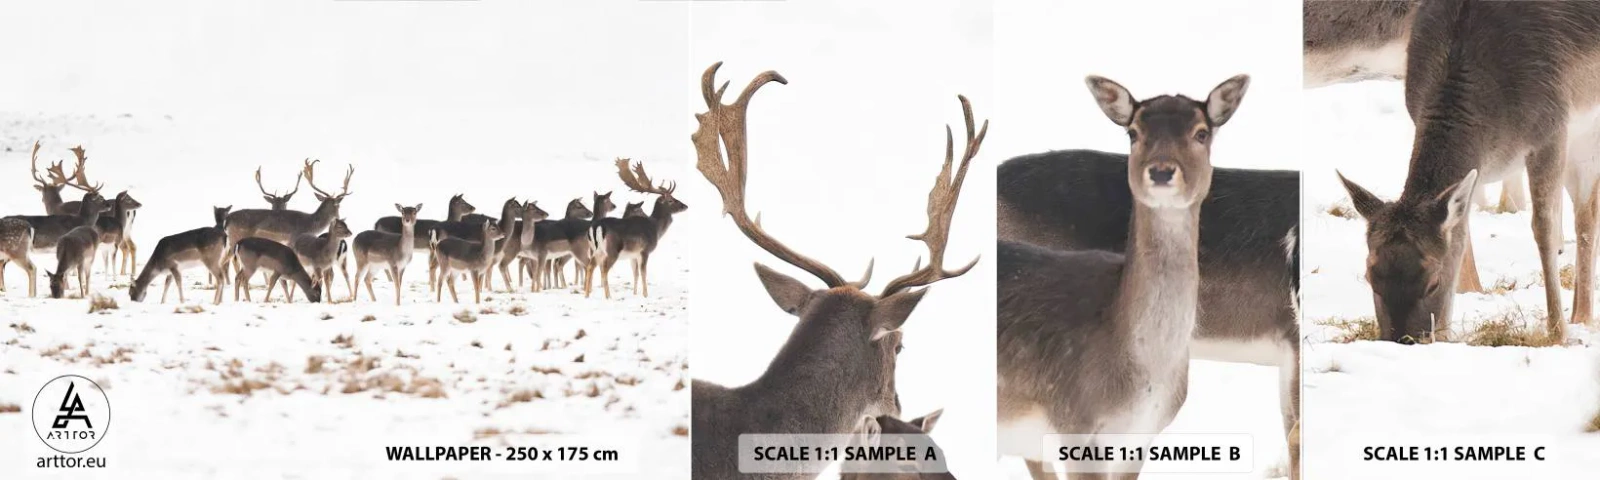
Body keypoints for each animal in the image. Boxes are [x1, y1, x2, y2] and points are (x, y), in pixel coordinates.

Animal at [225, 159, 352, 287]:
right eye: (338, 205)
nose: (339, 218)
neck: (310, 225)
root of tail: (228, 219)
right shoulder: (292, 240)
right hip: (236, 238)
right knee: (233, 260)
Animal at [584, 160, 687, 299]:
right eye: (671, 200)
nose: (685, 206)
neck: (655, 228)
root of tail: (596, 227)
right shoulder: (645, 250)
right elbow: (643, 273)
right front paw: (645, 295)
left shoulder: (633, 255)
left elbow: (635, 273)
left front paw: (634, 294)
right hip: (611, 250)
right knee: (604, 269)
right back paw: (608, 296)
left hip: (595, 250)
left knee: (590, 266)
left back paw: (586, 295)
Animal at [1336, 0, 1600, 342]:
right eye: (1370, 276)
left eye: (1433, 281)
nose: (1404, 341)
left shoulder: (1551, 131)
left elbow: (1544, 228)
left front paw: (1558, 333)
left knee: (1586, 216)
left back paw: (1582, 316)